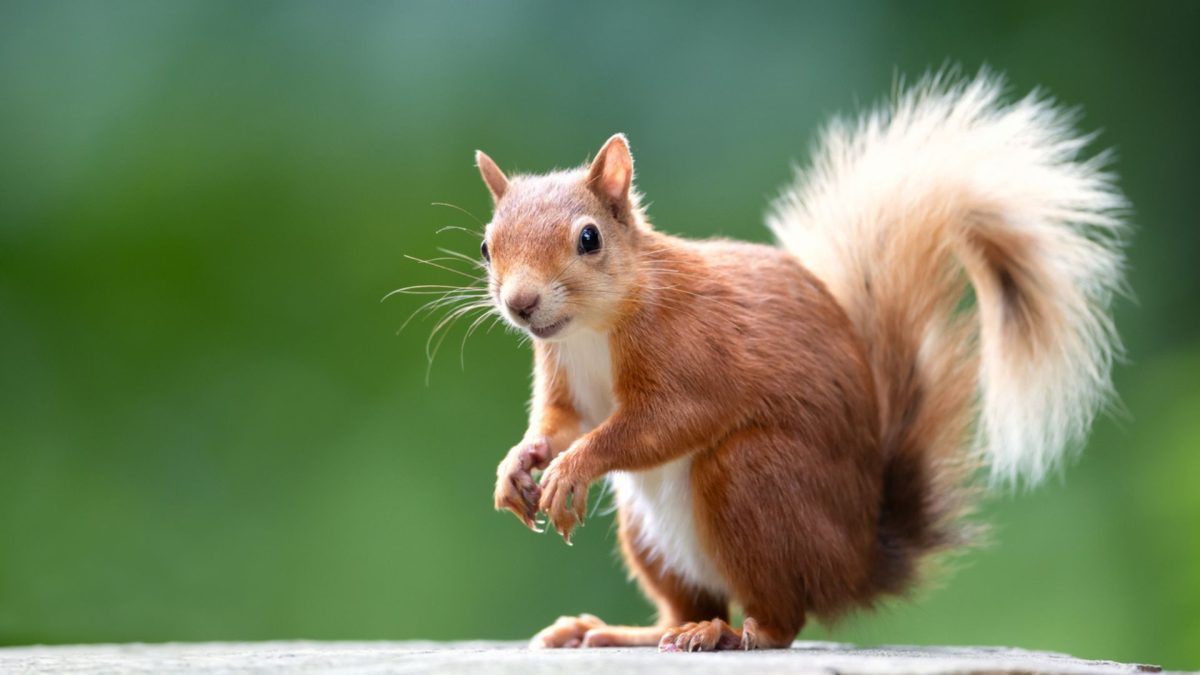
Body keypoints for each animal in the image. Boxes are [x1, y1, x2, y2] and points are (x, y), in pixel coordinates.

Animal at [473, 73, 1126, 652]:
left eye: (589, 239)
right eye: (486, 245)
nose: (521, 303)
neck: (592, 330)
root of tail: (857, 564)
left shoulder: (692, 353)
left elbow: (667, 421)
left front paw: (574, 468)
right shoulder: (564, 374)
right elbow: (562, 423)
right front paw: (518, 464)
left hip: (753, 480)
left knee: (781, 618)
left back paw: (730, 633)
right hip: (649, 532)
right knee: (684, 607)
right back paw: (622, 631)